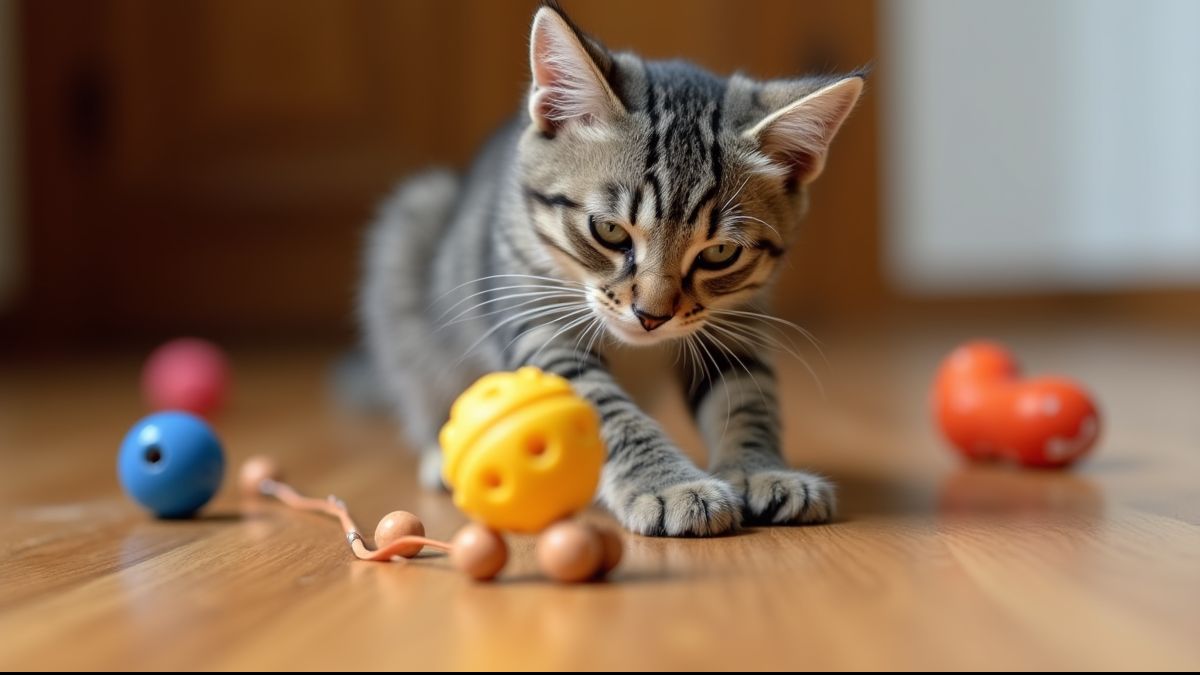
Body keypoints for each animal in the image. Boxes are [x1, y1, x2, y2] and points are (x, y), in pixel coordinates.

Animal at [357, 2, 864, 533]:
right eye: (609, 231)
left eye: (720, 253)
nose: (652, 316)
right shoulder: (537, 322)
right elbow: (604, 408)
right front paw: (669, 484)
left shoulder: (734, 325)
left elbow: (747, 397)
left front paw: (761, 470)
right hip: (411, 235)